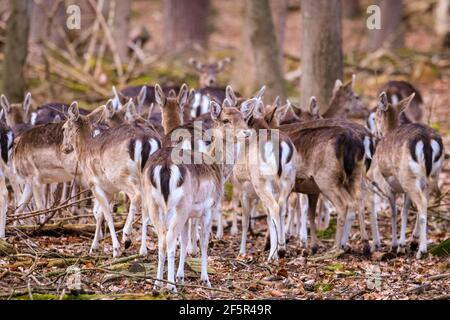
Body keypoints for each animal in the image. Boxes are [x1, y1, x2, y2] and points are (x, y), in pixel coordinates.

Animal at [142, 99, 251, 292]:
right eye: (226, 120)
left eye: (244, 118)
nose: (246, 132)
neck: (218, 169)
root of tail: (164, 166)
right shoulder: (209, 208)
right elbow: (204, 242)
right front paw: (205, 279)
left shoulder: (189, 215)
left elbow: (185, 241)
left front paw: (181, 276)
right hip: (180, 205)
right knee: (170, 240)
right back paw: (170, 287)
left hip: (153, 202)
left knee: (162, 239)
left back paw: (157, 284)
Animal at [370, 92, 442, 258]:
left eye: (375, 117)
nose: (375, 133)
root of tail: (426, 141)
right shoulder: (404, 189)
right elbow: (405, 211)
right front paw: (403, 245)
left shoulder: (387, 185)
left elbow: (394, 213)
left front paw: (395, 245)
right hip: (432, 175)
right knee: (425, 201)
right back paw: (415, 241)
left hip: (407, 176)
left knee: (422, 203)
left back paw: (422, 250)